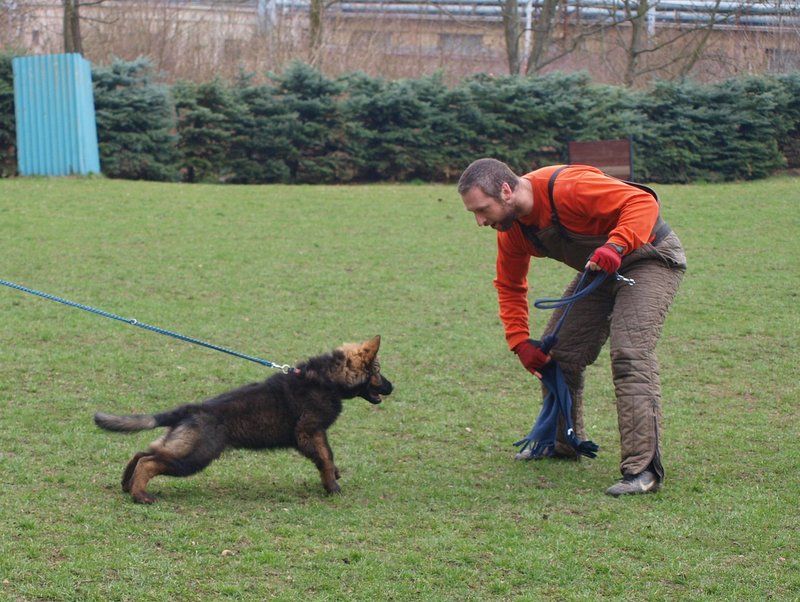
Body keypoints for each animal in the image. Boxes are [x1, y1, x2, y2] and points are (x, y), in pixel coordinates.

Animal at [94, 336, 392, 504]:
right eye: (377, 371)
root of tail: (191, 408)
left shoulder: (312, 436)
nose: (393, 387)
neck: (325, 380)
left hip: (183, 447)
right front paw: (332, 487)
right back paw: (140, 495)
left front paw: (334, 477)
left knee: (142, 453)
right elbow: (326, 457)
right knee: (148, 461)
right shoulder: (311, 432)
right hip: (195, 454)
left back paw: (127, 485)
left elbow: (326, 456)